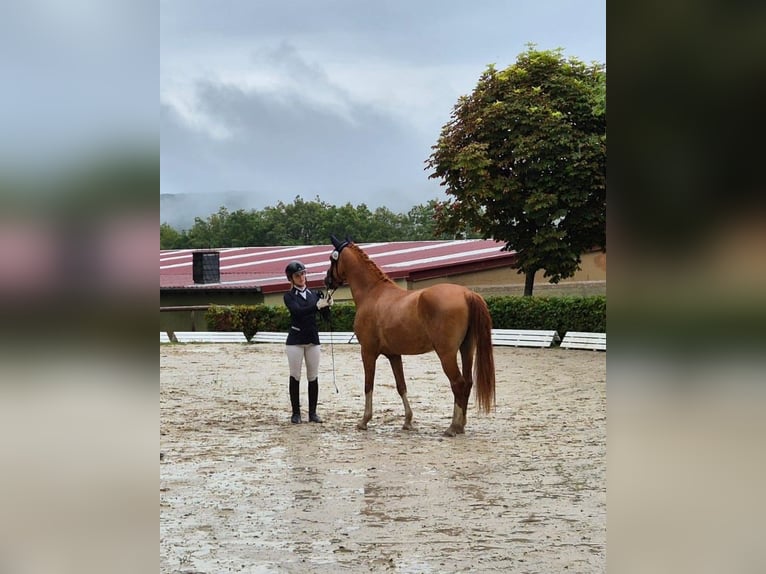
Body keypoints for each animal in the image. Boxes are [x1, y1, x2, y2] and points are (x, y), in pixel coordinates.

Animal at [324, 236, 498, 438]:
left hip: (446, 354)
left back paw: (453, 427)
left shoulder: (367, 352)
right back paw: (461, 426)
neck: (373, 293)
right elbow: (401, 386)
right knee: (468, 383)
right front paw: (407, 421)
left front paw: (364, 421)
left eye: (332, 259)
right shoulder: (393, 355)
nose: (326, 280)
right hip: (467, 349)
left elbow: (368, 385)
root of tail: (466, 293)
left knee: (458, 383)